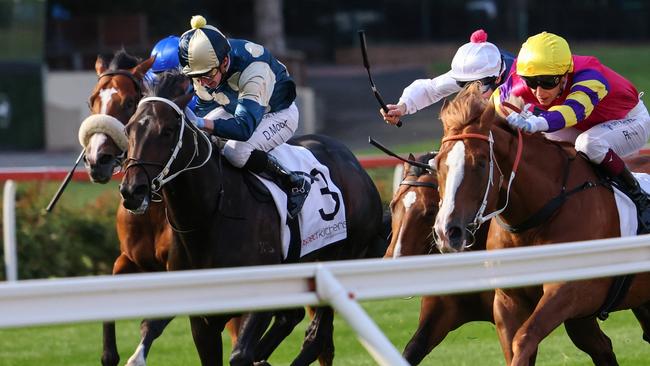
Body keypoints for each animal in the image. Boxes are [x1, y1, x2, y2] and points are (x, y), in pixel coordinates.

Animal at [430, 83, 650, 366]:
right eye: (438, 163)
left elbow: (524, 339)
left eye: (480, 163)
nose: (447, 232)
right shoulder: (508, 300)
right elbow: (515, 346)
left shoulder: (567, 291)